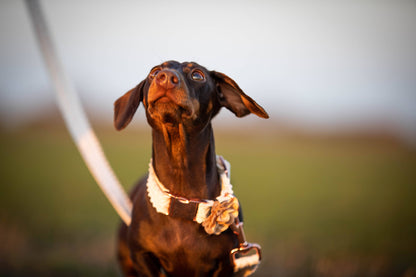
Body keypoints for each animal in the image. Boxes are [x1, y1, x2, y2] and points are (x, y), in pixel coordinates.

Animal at [115, 61, 268, 276]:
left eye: (197, 75)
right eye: (154, 72)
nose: (165, 77)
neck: (182, 202)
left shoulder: (227, 263)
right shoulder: (141, 257)